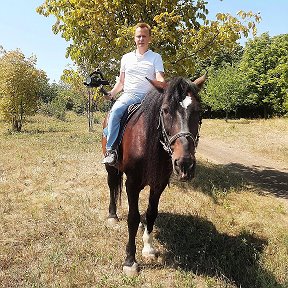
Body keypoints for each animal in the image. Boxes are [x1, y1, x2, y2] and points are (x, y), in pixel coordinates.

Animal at [101, 73, 205, 274]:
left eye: (199, 111)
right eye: (165, 110)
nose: (185, 164)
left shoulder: (159, 184)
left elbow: (151, 213)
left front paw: (148, 248)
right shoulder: (132, 183)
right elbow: (132, 218)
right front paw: (130, 261)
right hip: (111, 168)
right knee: (111, 186)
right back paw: (112, 216)